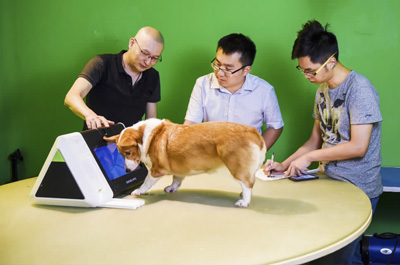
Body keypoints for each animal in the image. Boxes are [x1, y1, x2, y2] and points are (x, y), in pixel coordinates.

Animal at [103, 117, 266, 206]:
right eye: (120, 154)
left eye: (128, 153)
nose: (127, 171)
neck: (145, 137)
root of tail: (254, 133)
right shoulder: (177, 168)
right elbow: (177, 179)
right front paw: (171, 188)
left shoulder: (156, 170)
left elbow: (146, 182)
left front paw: (138, 191)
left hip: (236, 167)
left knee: (248, 184)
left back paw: (244, 201)